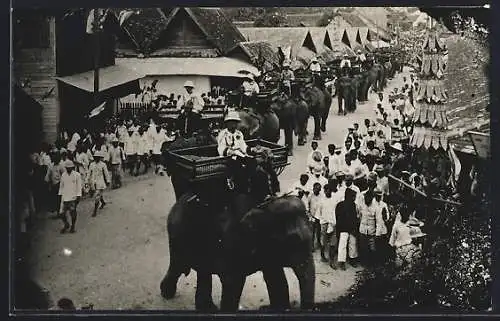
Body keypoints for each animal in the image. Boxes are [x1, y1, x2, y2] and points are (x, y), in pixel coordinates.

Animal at [160, 169, 314, 312]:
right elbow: (233, 281)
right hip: (176, 233)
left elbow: (275, 276)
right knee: (178, 264)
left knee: (202, 270)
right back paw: (167, 293)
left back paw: (206, 308)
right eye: (293, 241)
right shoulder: (232, 241)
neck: (265, 204)